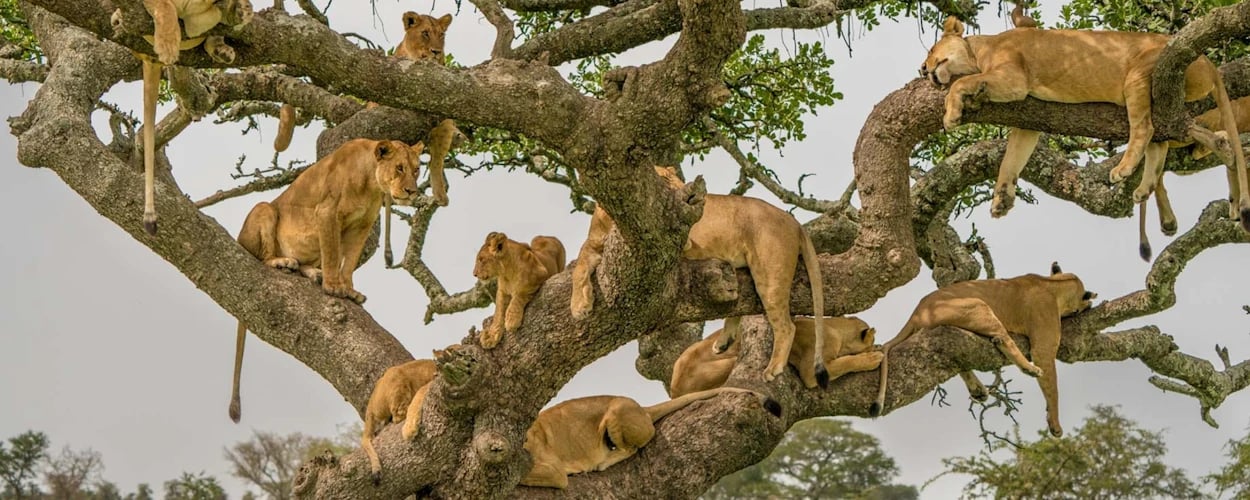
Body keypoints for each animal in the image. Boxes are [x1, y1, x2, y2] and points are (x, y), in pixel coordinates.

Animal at [227, 139, 423, 422]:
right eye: (399, 168)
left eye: (417, 169)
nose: (411, 191)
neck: (370, 183)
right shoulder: (327, 213)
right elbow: (332, 253)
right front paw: (333, 287)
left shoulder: (362, 224)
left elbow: (349, 261)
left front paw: (349, 290)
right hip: (264, 210)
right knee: (263, 256)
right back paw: (283, 262)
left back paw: (311, 272)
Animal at [570, 166, 830, 389]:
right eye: (665, 185)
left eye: (680, 183)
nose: (692, 198)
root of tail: (793, 221)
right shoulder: (594, 244)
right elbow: (578, 267)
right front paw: (579, 306)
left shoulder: (682, 243)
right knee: (741, 303)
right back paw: (724, 341)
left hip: (769, 274)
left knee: (786, 326)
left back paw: (773, 368)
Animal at [669, 316, 882, 397]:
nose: (875, 345)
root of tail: (674, 389)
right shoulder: (810, 371)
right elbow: (845, 362)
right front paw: (873, 357)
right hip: (730, 363)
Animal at [870, 263, 1097, 437]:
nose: (1090, 305)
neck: (1053, 284)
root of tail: (916, 313)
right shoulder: (1043, 348)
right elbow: (1052, 388)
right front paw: (1056, 425)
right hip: (978, 305)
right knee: (1002, 341)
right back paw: (1028, 368)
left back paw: (978, 391)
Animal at [923, 16, 1250, 233]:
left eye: (931, 50)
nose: (923, 69)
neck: (978, 51)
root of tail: (1208, 60)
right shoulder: (1027, 120)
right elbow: (1011, 159)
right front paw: (1001, 199)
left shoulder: (1014, 79)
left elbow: (960, 83)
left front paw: (951, 114)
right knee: (1160, 142)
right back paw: (1145, 187)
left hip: (1141, 74)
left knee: (1144, 129)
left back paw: (1123, 170)